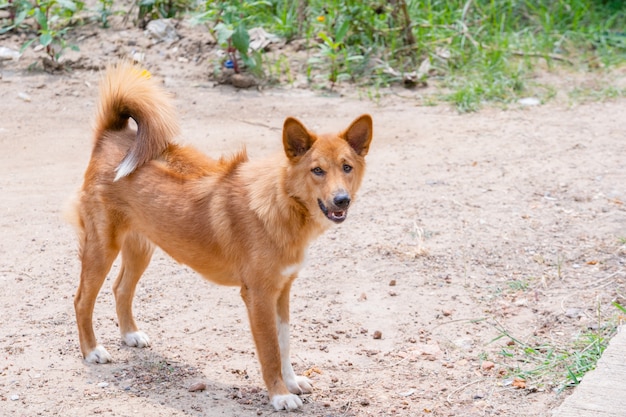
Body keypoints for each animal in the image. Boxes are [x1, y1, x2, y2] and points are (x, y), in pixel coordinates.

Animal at [68, 62, 370, 410]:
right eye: (317, 170)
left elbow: (284, 344)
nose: (341, 200)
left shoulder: (282, 291)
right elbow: (270, 350)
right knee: (81, 300)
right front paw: (279, 395)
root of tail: (112, 135)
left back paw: (130, 334)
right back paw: (92, 351)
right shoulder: (258, 296)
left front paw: (292, 382)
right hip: (103, 248)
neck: (280, 203)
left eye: (346, 167)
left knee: (121, 289)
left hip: (140, 248)